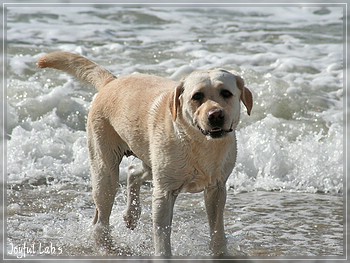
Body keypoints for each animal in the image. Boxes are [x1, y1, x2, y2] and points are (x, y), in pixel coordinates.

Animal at [37, 52, 252, 258]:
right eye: (197, 96)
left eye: (226, 93)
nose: (215, 115)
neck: (199, 143)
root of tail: (111, 82)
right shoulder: (164, 193)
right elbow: (162, 234)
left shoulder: (217, 189)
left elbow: (217, 230)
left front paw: (220, 253)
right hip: (105, 171)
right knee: (101, 218)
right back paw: (106, 246)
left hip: (149, 159)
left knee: (133, 172)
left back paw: (131, 215)